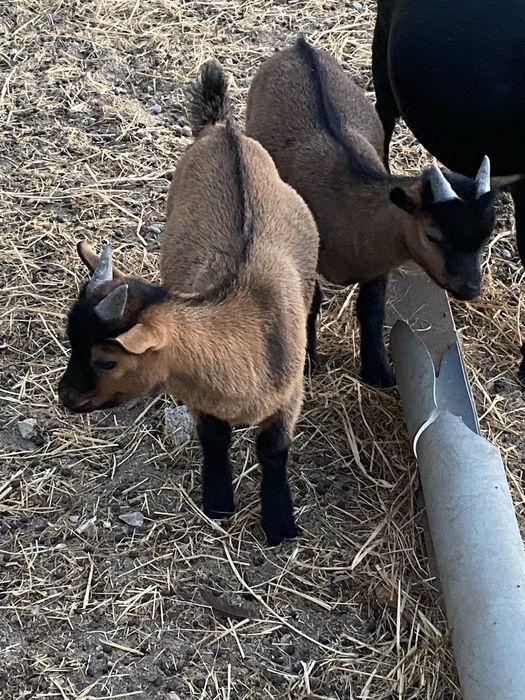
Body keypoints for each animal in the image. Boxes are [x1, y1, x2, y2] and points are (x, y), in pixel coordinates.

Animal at [58, 62, 319, 546]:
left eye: (106, 360)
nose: (67, 397)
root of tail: (222, 132)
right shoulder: (200, 395)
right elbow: (214, 439)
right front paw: (218, 502)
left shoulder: (287, 398)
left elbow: (273, 451)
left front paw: (279, 523)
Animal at [245, 37, 495, 388]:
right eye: (432, 235)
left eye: (486, 237)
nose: (471, 288)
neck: (348, 203)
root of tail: (300, 47)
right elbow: (310, 304)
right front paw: (308, 362)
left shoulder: (378, 261)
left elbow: (372, 308)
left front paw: (378, 369)